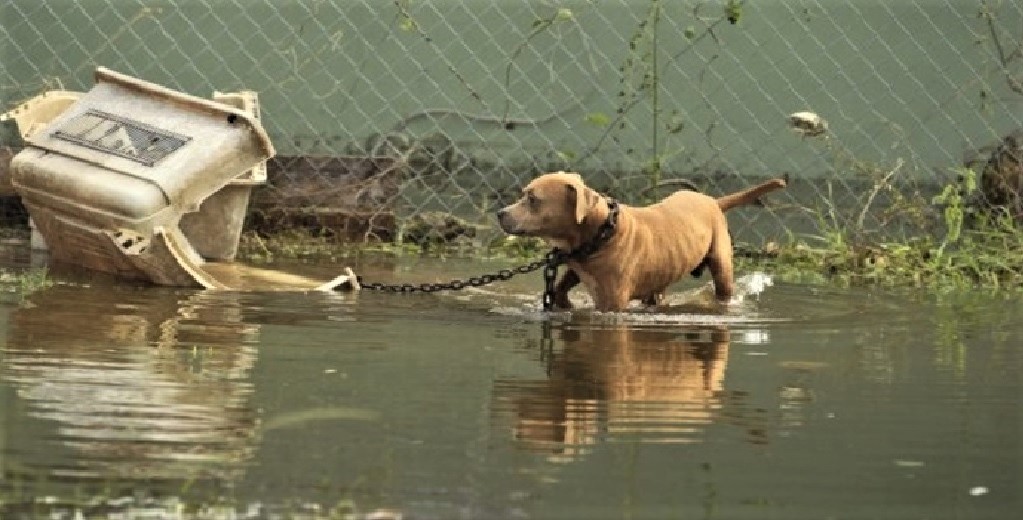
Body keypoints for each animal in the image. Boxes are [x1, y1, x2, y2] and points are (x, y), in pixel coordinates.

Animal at [495, 170, 781, 311]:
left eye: (533, 199)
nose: (500, 213)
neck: (601, 231)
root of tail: (713, 201)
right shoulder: (578, 265)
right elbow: (560, 288)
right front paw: (563, 303)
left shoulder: (613, 302)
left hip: (722, 266)